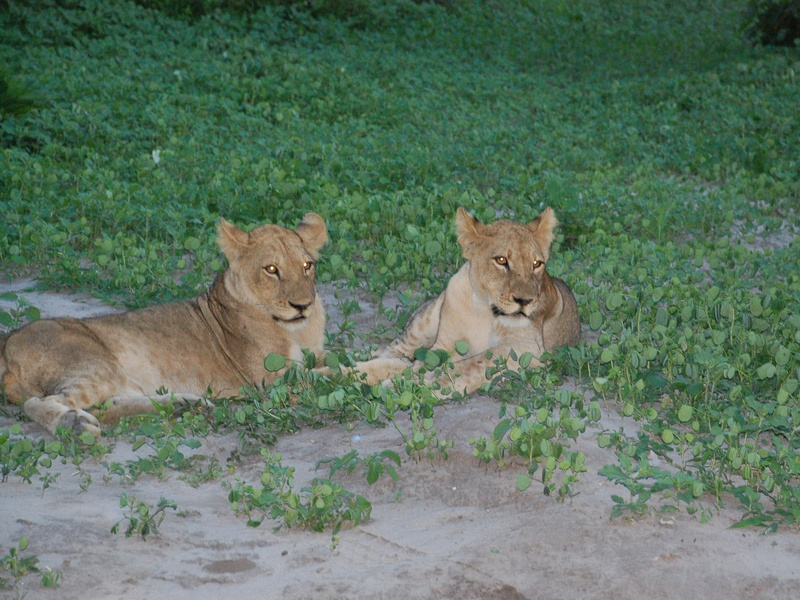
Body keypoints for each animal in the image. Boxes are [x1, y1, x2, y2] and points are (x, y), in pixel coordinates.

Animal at [0, 213, 328, 436]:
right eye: (271, 269)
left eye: (307, 266)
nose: (302, 305)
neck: (298, 330)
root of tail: (6, 341)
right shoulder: (269, 383)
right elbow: (328, 375)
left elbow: (329, 363)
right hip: (95, 364)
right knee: (41, 402)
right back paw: (73, 424)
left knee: (105, 407)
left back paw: (185, 406)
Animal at [352, 207, 580, 394]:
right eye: (501, 260)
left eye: (536, 264)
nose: (525, 300)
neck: (485, 310)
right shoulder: (444, 344)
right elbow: (433, 363)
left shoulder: (525, 347)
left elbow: (471, 365)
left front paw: (412, 385)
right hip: (423, 322)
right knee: (393, 353)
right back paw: (347, 371)